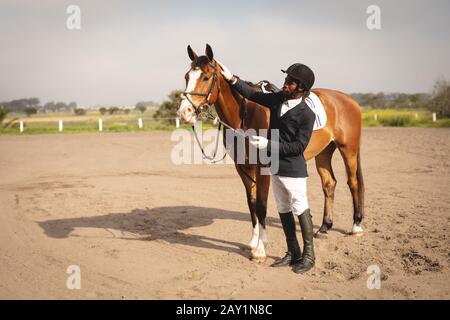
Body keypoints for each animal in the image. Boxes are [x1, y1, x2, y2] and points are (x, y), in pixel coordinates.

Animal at [178, 44, 364, 260]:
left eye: (206, 77)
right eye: (187, 76)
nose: (184, 113)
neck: (247, 114)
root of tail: (349, 99)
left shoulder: (263, 169)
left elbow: (261, 205)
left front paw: (260, 249)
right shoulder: (243, 167)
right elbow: (251, 203)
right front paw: (253, 242)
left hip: (348, 150)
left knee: (353, 183)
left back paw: (356, 226)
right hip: (324, 153)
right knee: (329, 184)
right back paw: (324, 228)